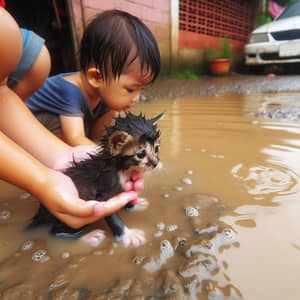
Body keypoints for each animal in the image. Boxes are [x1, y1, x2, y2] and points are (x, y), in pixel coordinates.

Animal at [27, 111, 164, 247]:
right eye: (141, 154)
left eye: (157, 148)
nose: (155, 163)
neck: (119, 168)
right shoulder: (104, 193)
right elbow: (111, 215)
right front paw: (128, 235)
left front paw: (133, 205)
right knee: (56, 231)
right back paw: (87, 238)